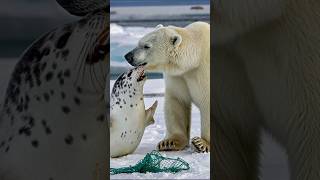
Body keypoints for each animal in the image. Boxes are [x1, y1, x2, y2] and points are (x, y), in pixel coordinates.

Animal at [124, 21, 210, 153]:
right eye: (139, 42)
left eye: (146, 46)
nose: (128, 56)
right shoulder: (179, 76)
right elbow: (177, 101)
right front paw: (169, 142)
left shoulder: (203, 72)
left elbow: (207, 102)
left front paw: (201, 143)